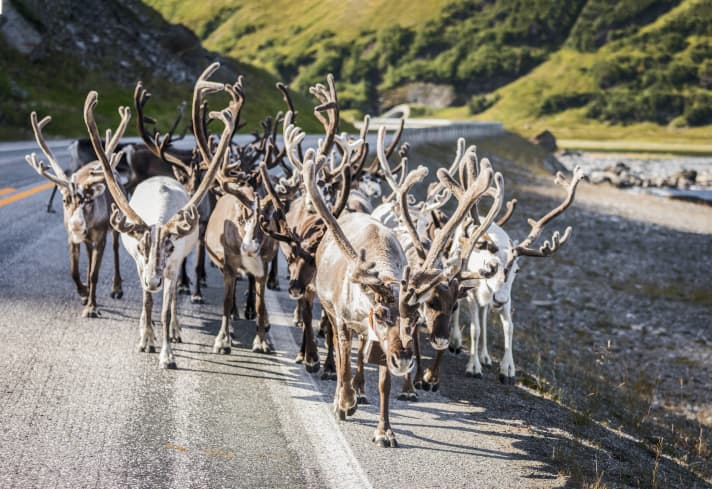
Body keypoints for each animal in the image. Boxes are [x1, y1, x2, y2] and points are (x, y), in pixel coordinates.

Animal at [25, 111, 125, 318]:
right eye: (65, 201)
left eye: (89, 200)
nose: (77, 225)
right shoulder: (72, 238)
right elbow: (74, 271)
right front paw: (84, 293)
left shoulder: (100, 237)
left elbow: (95, 274)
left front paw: (92, 307)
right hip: (86, 240)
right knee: (88, 255)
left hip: (115, 226)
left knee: (116, 250)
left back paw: (117, 288)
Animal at [89, 62, 236, 369]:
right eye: (142, 246)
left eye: (168, 246)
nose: (154, 282)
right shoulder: (141, 265)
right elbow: (146, 303)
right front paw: (146, 339)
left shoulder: (173, 264)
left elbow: (167, 310)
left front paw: (167, 354)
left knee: (173, 303)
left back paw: (176, 330)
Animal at [449, 166, 584, 383]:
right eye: (490, 265)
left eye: (517, 270)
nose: (499, 299)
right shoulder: (472, 293)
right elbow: (474, 329)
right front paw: (473, 367)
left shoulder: (508, 297)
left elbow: (509, 327)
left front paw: (507, 369)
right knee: (458, 307)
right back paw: (455, 341)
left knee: (484, 317)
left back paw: (485, 356)